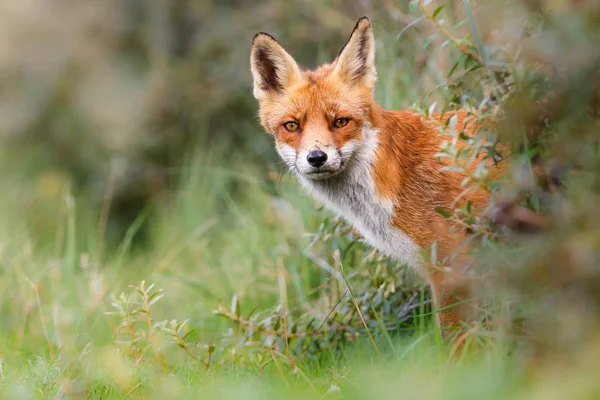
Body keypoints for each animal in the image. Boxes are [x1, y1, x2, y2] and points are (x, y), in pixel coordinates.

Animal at [251, 16, 504, 344]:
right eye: (292, 126)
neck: (397, 176)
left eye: (340, 122)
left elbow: (456, 343)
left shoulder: (452, 266)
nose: (317, 157)